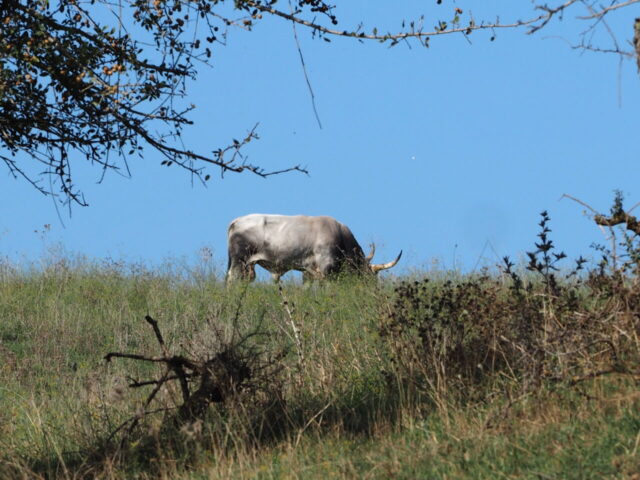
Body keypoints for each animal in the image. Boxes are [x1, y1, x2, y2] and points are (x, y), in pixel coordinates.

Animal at [228, 213, 402, 284]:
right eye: (368, 277)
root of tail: (236, 221)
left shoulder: (309, 271)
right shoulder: (326, 270)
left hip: (247, 267)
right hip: (239, 261)